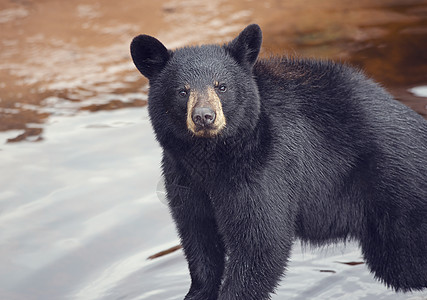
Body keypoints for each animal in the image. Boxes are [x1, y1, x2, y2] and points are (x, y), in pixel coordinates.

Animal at [131, 24, 427, 298]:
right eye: (182, 91)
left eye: (222, 86)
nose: (204, 117)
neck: (212, 156)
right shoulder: (182, 176)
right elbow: (199, 240)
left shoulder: (267, 166)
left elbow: (262, 243)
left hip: (397, 199)